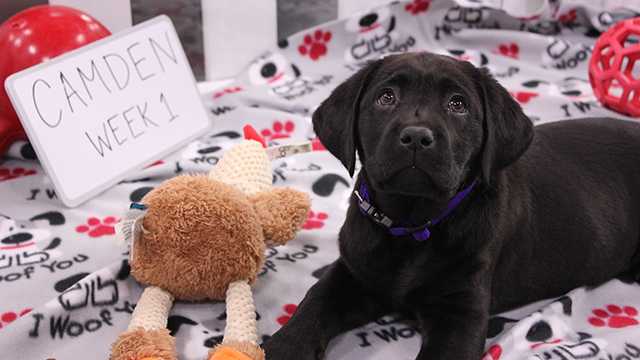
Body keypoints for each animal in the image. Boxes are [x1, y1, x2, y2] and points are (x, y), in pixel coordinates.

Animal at [262, 52, 640, 360]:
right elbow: (312, 304)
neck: (412, 225)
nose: (417, 136)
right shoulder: (354, 272)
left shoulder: (461, 311)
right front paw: (282, 347)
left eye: (457, 104)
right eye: (386, 97)